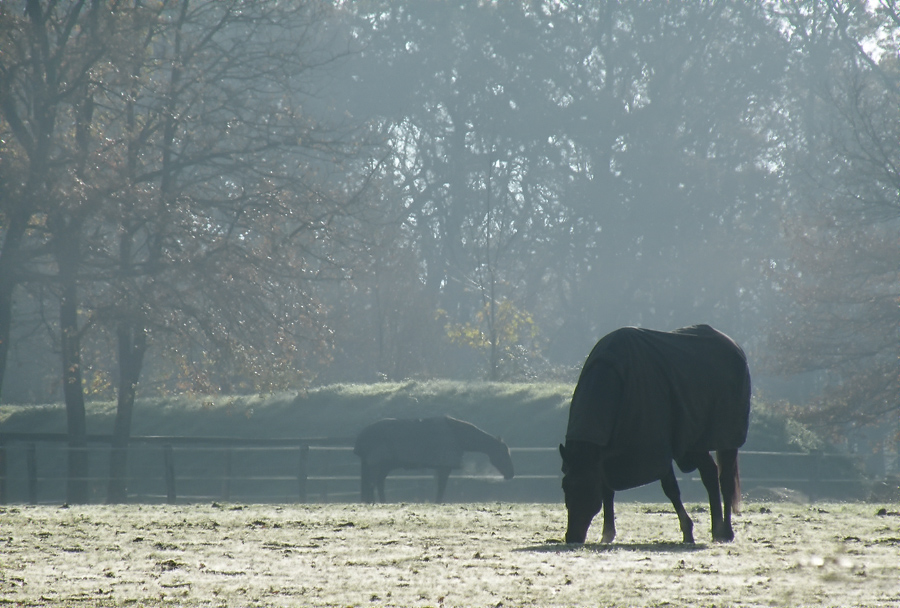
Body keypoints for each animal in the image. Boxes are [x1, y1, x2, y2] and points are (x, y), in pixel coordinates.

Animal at [356, 416, 516, 502]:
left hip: (383, 467)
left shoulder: (440, 468)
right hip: (377, 466)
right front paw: (438, 502)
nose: (511, 474)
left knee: (377, 483)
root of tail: (362, 436)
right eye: (503, 453)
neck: (457, 435)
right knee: (373, 484)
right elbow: (441, 488)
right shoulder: (444, 468)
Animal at [560, 326, 748, 544]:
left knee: (725, 480)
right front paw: (607, 533)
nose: (572, 537)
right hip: (695, 444)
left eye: (587, 489)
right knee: (709, 473)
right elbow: (607, 490)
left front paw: (687, 530)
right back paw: (717, 528)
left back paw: (726, 530)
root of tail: (734, 346)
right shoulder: (606, 457)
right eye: (565, 487)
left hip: (726, 440)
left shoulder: (655, 447)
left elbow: (671, 489)